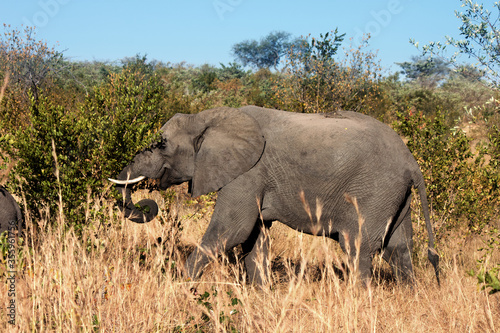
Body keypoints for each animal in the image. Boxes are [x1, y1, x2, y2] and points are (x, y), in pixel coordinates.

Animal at [108, 106, 438, 286]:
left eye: (162, 144)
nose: (147, 203)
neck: (206, 117)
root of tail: (411, 161)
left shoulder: (248, 173)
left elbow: (231, 230)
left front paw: (176, 285)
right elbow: (255, 238)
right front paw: (261, 293)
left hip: (374, 190)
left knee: (358, 245)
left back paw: (359, 299)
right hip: (395, 195)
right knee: (399, 247)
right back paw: (409, 294)